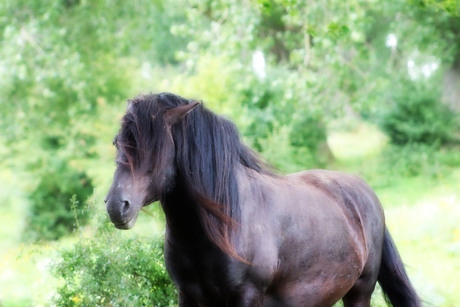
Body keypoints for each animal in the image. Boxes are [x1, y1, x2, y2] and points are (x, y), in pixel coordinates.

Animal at [104, 94, 420, 307]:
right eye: (118, 143)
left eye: (156, 150)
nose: (117, 206)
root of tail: (365, 193)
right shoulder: (188, 296)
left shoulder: (248, 296)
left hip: (359, 293)